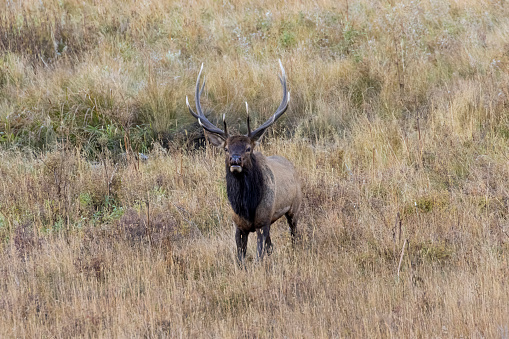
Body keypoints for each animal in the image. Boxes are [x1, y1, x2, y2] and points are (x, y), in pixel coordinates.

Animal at [190, 61, 302, 262]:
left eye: (248, 149)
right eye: (226, 149)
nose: (235, 160)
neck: (246, 207)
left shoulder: (263, 221)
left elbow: (258, 256)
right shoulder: (239, 225)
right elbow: (240, 257)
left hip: (294, 207)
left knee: (294, 234)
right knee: (271, 245)